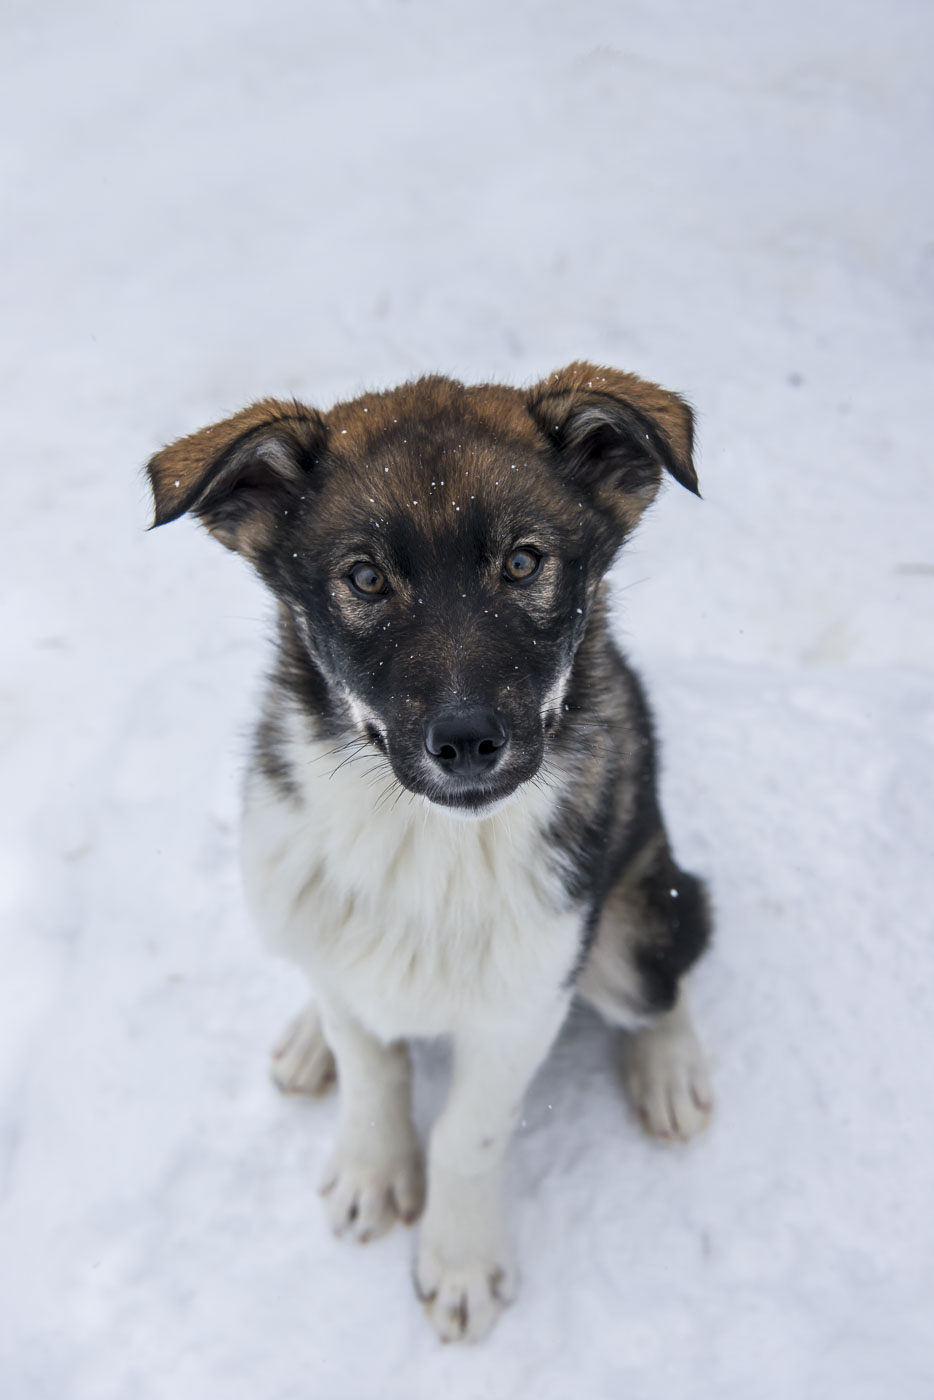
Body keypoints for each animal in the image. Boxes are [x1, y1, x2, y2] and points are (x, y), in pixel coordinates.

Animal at [147, 364, 716, 1344]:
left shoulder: (525, 1002)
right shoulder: (351, 967)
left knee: (668, 959)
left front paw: (459, 1265)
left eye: (523, 562)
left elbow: (466, 1134)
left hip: (630, 920)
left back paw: (669, 1068)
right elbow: (373, 1068)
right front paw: (373, 1172)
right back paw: (308, 1039)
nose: (467, 742)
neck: (426, 838)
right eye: (366, 578)